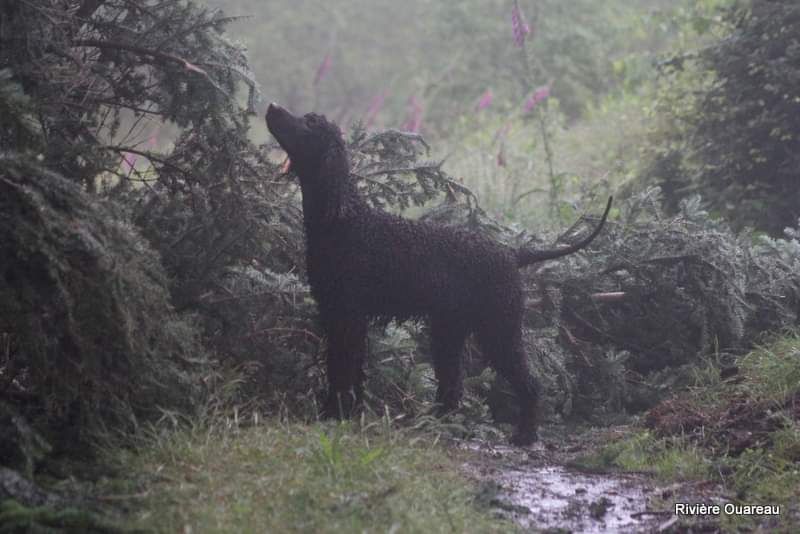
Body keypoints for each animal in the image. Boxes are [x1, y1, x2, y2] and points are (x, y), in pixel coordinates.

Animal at [266, 102, 608, 446]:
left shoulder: (348, 317)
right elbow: (346, 370)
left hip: (499, 329)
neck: (345, 220)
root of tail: (510, 253)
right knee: (453, 386)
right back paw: (437, 424)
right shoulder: (338, 315)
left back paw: (524, 434)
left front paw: (336, 415)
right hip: (449, 330)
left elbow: (342, 370)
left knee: (529, 382)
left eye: (310, 123)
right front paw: (341, 413)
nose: (272, 106)